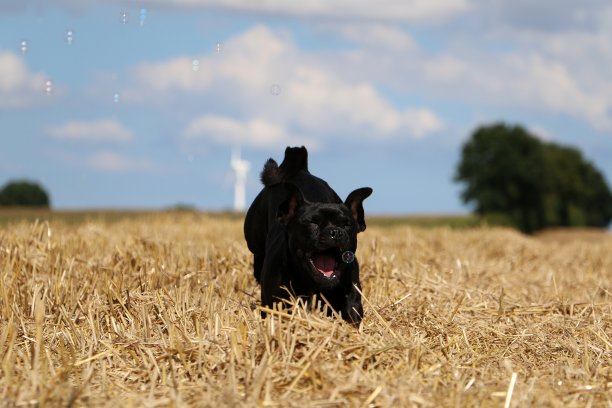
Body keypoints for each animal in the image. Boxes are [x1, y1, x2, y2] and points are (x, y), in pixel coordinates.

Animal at [245, 147, 372, 326]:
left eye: (347, 224)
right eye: (312, 222)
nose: (335, 232)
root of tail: (299, 169)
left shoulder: (350, 300)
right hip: (254, 243)